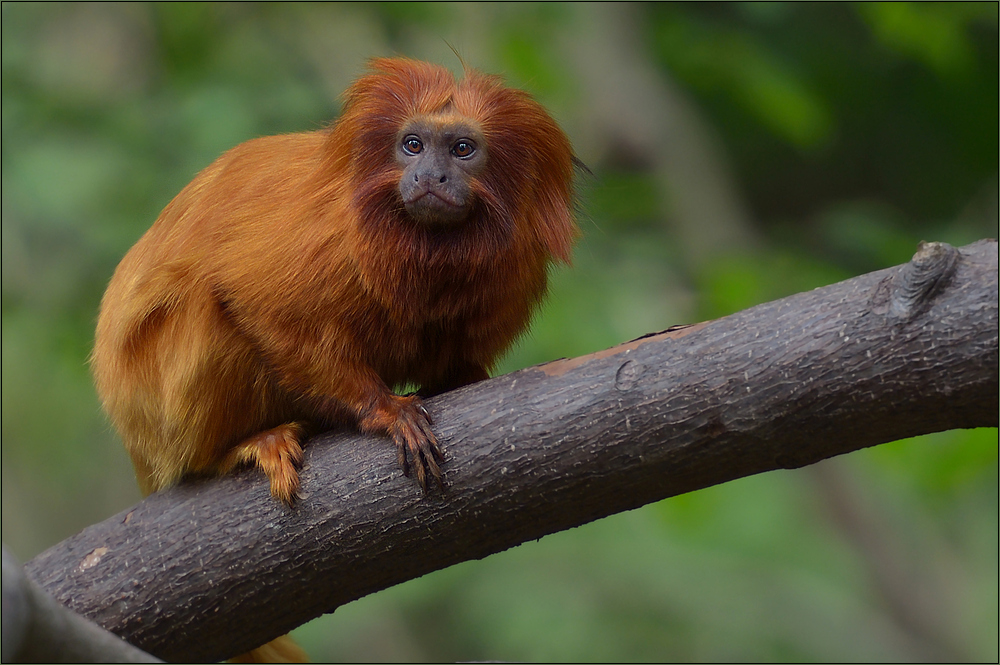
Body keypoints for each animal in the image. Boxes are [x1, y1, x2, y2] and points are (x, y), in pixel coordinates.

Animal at [94, 58, 580, 512]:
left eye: (462, 149)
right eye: (413, 145)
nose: (429, 176)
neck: (422, 249)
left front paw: (465, 378)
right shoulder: (323, 237)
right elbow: (256, 304)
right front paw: (385, 410)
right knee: (202, 301)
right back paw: (237, 448)